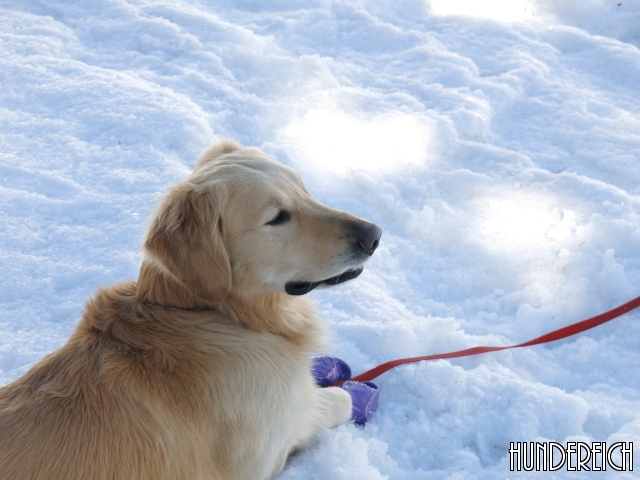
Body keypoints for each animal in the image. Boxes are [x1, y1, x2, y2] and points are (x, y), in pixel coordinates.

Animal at [0, 142, 380, 480]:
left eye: (304, 190)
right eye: (277, 217)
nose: (374, 234)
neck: (209, 315)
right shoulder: (265, 452)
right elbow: (328, 405)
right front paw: (353, 394)